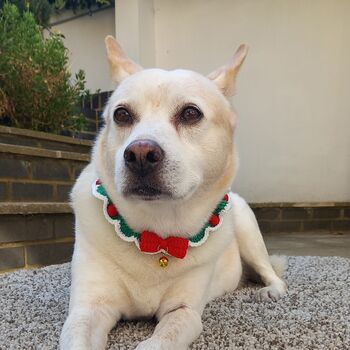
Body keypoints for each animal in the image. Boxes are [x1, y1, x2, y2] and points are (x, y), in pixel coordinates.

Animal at [60, 36, 288, 350]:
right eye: (121, 115)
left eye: (191, 113)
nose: (140, 154)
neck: (156, 233)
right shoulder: (88, 307)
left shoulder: (185, 312)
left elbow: (159, 340)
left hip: (248, 233)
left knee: (271, 271)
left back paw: (272, 291)